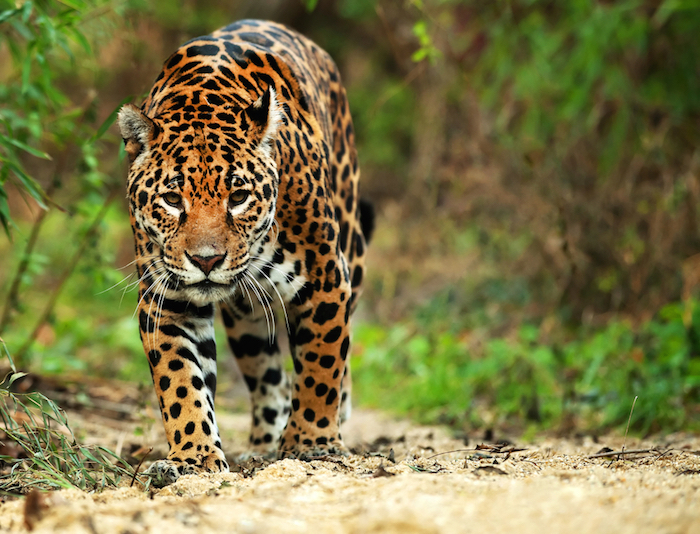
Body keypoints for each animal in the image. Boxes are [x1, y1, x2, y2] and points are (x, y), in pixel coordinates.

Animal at [117, 19, 373, 487]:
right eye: (172, 200)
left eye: (238, 197)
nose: (205, 261)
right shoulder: (168, 300)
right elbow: (180, 382)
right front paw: (195, 456)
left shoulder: (326, 278)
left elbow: (322, 362)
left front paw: (312, 443)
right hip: (248, 318)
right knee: (267, 376)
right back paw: (262, 444)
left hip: (353, 248)